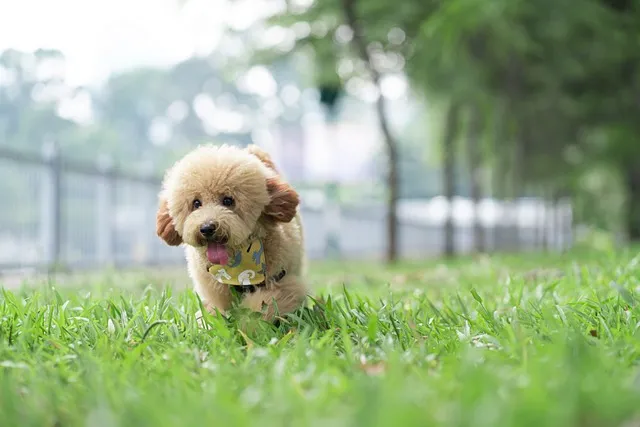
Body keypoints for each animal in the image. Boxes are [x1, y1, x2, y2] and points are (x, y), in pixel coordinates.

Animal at [154, 144, 306, 320]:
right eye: (196, 203)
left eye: (228, 200)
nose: (207, 228)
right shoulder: (214, 291)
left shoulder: (281, 283)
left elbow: (263, 306)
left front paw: (250, 324)